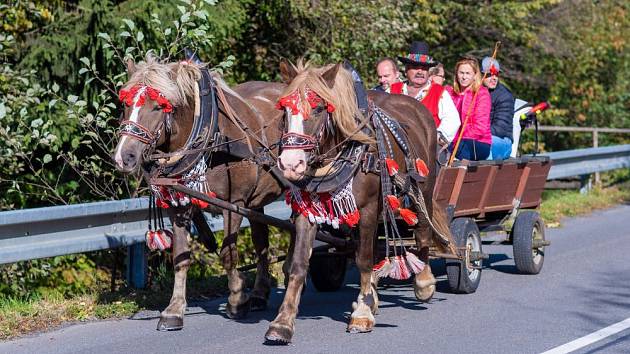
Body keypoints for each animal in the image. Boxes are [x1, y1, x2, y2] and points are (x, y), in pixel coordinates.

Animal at [115, 55, 288, 330]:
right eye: (125, 104)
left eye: (159, 107)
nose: (124, 157)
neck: (211, 136)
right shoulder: (179, 207)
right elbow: (180, 257)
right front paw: (174, 310)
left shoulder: (234, 203)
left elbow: (228, 255)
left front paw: (237, 299)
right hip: (255, 202)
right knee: (261, 242)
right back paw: (260, 294)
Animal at [264, 59, 456, 344]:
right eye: (285, 110)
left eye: (318, 108)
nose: (290, 164)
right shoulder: (308, 211)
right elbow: (299, 264)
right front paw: (283, 322)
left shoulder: (367, 209)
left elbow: (364, 259)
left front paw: (362, 314)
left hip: (422, 188)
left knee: (422, 230)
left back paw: (423, 281)